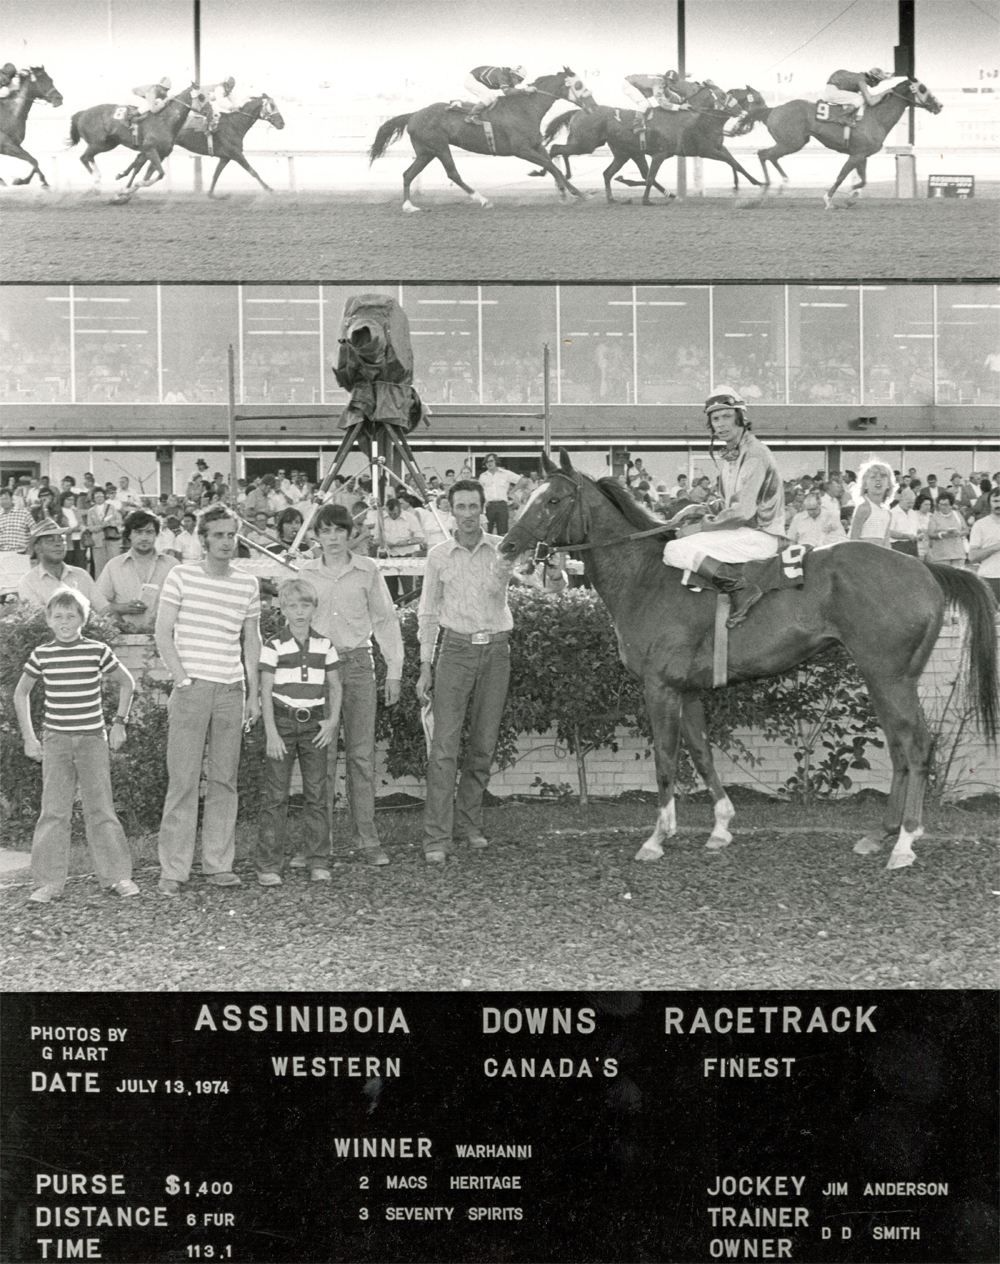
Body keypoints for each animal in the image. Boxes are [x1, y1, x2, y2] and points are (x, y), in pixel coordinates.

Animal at [69, 86, 206, 194]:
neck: (165, 120)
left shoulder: (158, 152)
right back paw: (97, 182)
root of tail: (82, 113)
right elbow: (157, 173)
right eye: (202, 97)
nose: (209, 112)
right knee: (84, 157)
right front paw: (132, 186)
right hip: (98, 143)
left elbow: (143, 170)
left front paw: (126, 188)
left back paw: (99, 178)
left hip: (108, 144)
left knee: (89, 157)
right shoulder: (150, 149)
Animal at [371, 70, 599, 211]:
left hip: (426, 152)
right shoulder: (521, 150)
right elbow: (552, 167)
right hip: (439, 147)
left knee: (408, 174)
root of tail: (413, 114)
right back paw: (483, 200)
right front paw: (573, 193)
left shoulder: (536, 145)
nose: (595, 107)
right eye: (579, 84)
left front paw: (570, 192)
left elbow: (552, 165)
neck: (525, 108)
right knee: (453, 174)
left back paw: (409, 206)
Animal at [505, 449, 996, 874]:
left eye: (552, 499)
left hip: (890, 677)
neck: (646, 578)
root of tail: (925, 568)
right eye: (527, 495)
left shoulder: (659, 685)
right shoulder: (687, 687)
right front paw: (720, 827)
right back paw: (882, 834)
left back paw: (906, 842)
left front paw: (657, 837)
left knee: (917, 745)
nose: (508, 545)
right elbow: (702, 752)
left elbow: (666, 758)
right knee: (899, 747)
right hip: (884, 679)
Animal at [758, 78, 945, 206]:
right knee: (764, 154)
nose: (939, 105)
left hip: (793, 142)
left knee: (767, 155)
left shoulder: (862, 155)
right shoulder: (856, 155)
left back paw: (774, 187)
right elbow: (841, 176)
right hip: (791, 143)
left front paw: (850, 198)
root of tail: (773, 110)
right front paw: (829, 200)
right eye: (922, 88)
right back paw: (768, 189)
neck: (876, 116)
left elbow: (863, 180)